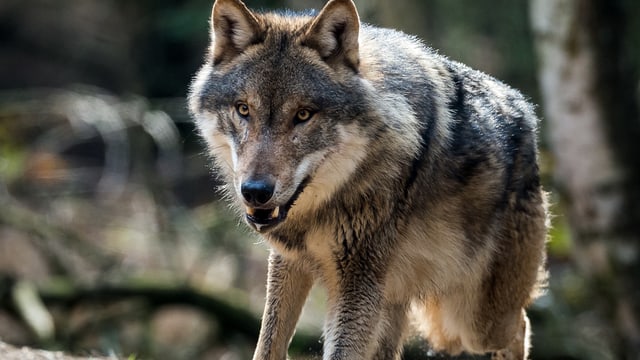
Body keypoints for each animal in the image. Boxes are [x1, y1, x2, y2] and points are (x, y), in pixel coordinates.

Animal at [189, 0, 544, 358]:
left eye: (303, 114)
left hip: (472, 320)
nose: (255, 191)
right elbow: (267, 345)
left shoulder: (357, 280)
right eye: (243, 109)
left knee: (521, 326)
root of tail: (527, 112)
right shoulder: (289, 262)